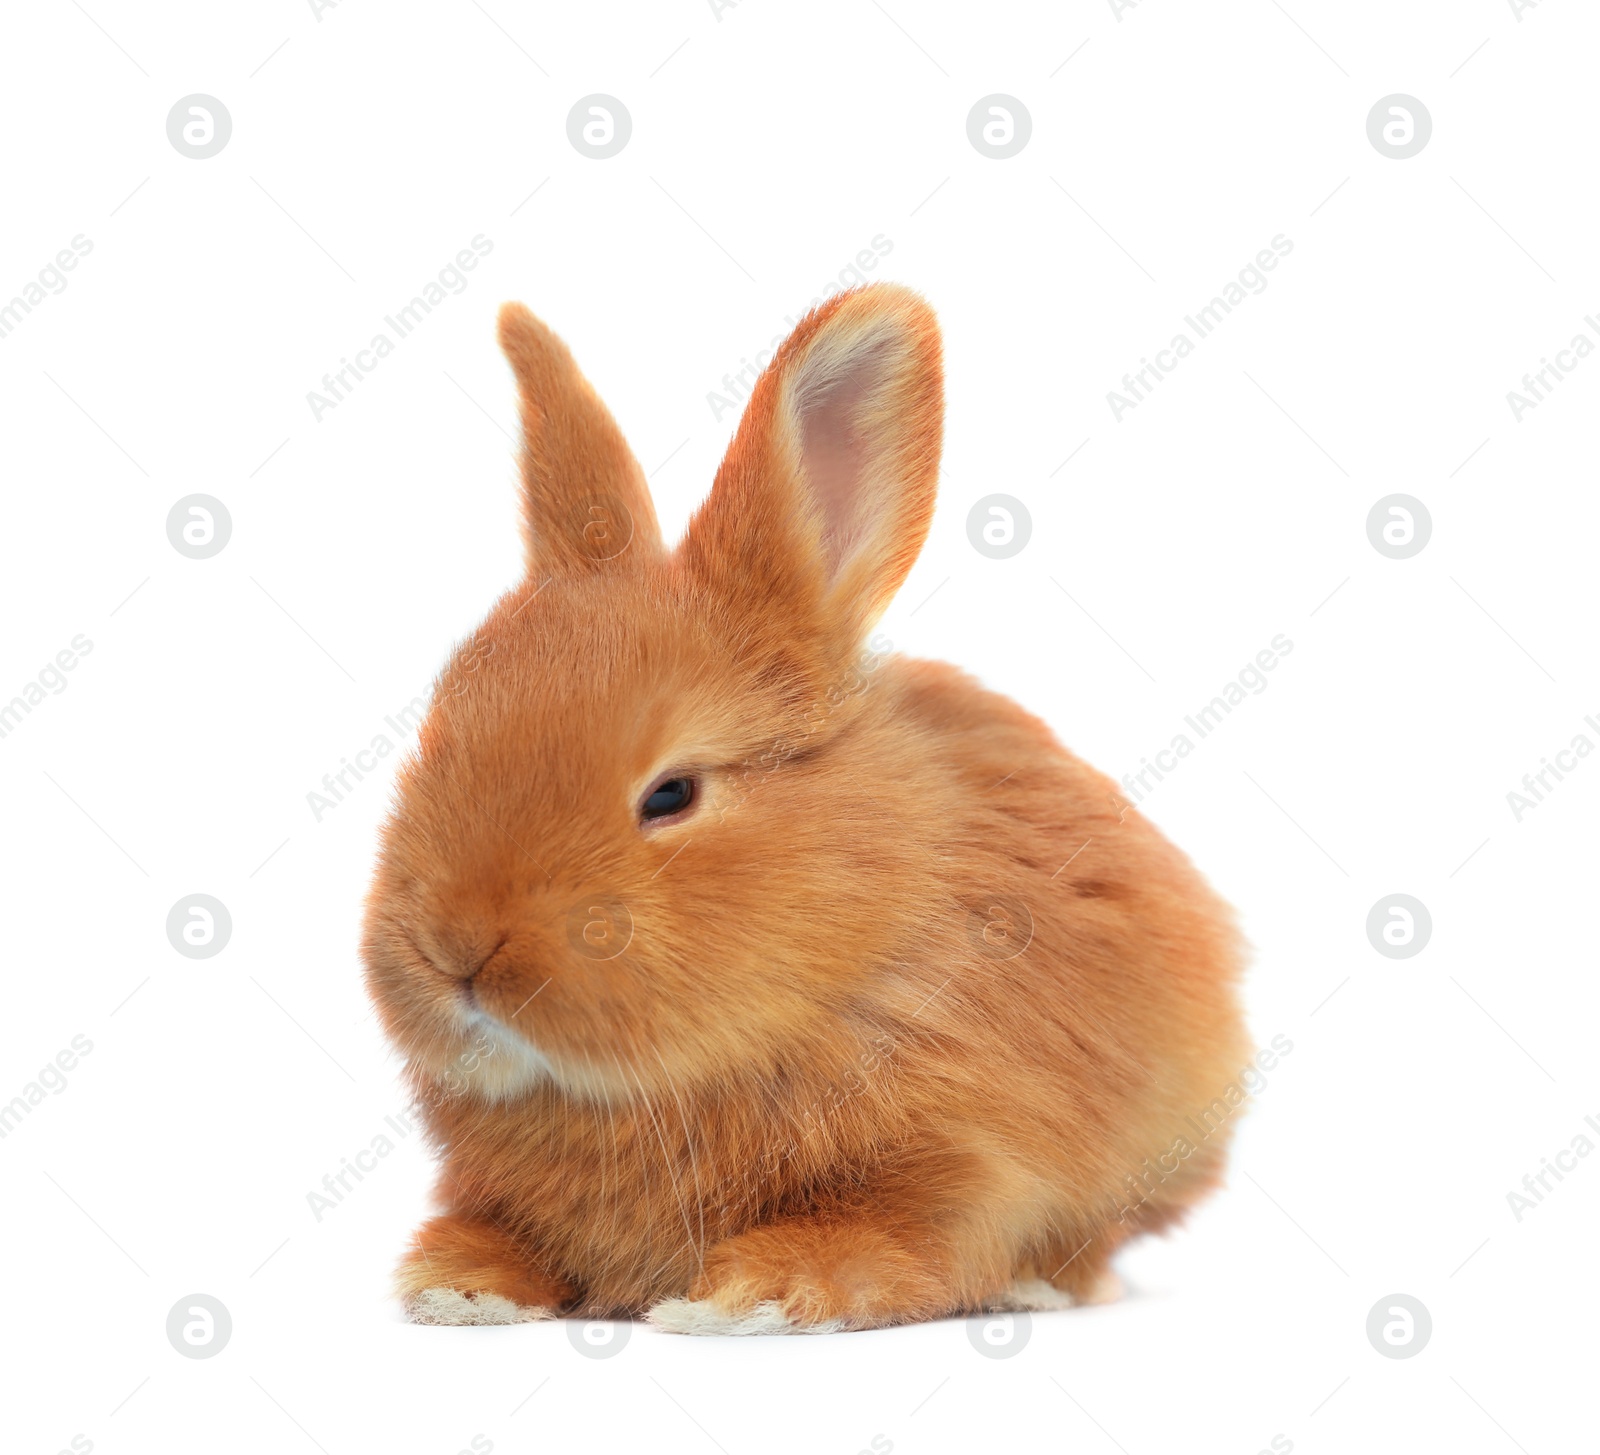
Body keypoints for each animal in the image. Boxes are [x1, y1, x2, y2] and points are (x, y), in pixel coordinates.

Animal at [363, 281, 1248, 1325]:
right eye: (437, 732)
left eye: (672, 792)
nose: (455, 949)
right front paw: (460, 1286)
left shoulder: (968, 1156)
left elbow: (897, 1233)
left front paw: (751, 1295)